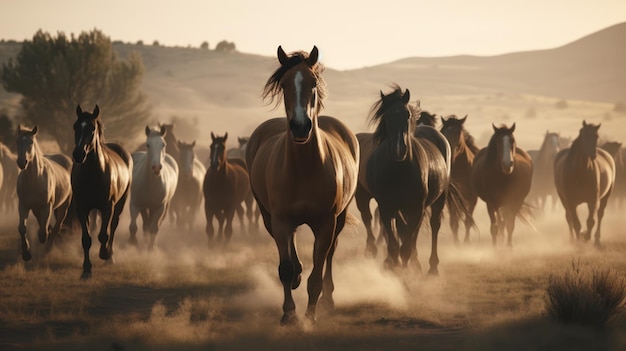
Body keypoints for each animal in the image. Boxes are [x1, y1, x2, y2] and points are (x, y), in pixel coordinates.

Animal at [70, 105, 132, 280]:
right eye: (76, 126)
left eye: (92, 128)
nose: (78, 154)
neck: (93, 173)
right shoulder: (82, 208)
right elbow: (86, 239)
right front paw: (86, 269)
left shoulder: (107, 207)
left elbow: (103, 234)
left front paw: (105, 253)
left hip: (120, 203)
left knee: (113, 226)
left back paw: (110, 256)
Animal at [246, 46, 358, 324]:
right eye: (284, 85)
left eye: (313, 83)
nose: (300, 126)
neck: (305, 168)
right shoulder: (280, 219)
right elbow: (285, 268)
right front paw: (289, 313)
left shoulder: (326, 223)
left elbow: (317, 274)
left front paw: (310, 315)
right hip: (268, 216)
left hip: (339, 219)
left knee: (330, 255)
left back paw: (328, 299)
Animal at [438, 115, 478, 245]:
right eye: (444, 132)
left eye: (458, 132)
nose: (449, 152)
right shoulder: (452, 200)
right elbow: (454, 222)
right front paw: (456, 243)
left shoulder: (472, 199)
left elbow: (468, 221)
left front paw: (466, 242)